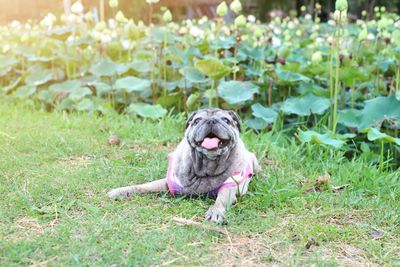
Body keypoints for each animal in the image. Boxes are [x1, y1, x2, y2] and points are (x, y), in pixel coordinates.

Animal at [108, 109, 260, 224]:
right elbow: (144, 186)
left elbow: (220, 201)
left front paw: (215, 211)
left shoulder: (228, 189)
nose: (211, 121)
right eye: (197, 121)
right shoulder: (168, 183)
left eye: (226, 120)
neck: (206, 165)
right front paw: (121, 191)